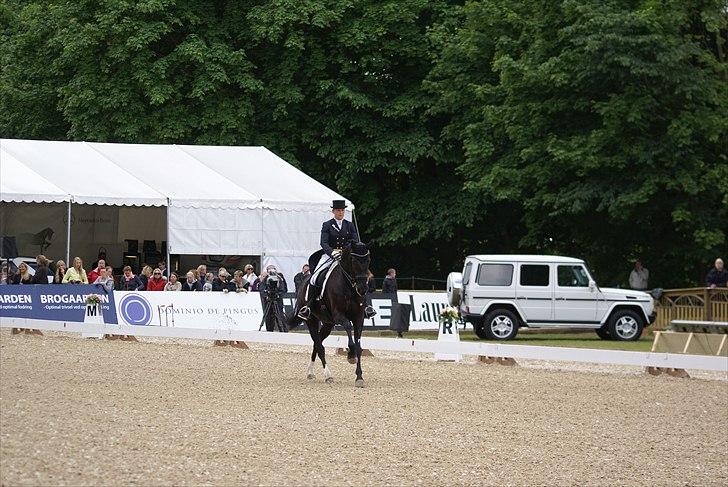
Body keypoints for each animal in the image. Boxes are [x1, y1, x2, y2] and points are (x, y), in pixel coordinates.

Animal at [288, 243, 372, 388]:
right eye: (354, 260)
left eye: (367, 261)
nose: (362, 289)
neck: (349, 285)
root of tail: (304, 281)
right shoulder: (339, 315)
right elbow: (348, 327)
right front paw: (351, 355)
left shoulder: (359, 318)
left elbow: (359, 346)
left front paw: (359, 377)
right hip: (311, 320)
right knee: (319, 346)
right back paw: (328, 375)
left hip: (328, 323)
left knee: (317, 344)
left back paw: (310, 372)